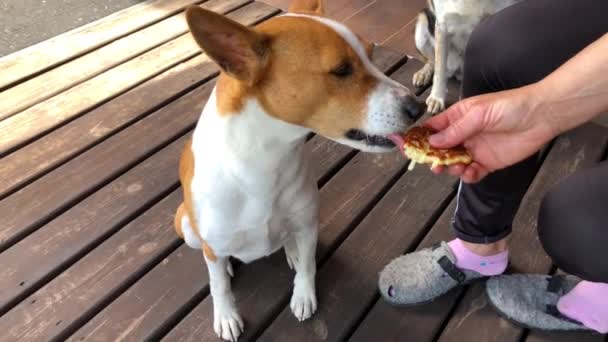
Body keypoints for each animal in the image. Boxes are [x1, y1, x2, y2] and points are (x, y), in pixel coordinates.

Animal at [175, 1, 422, 340]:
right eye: (341, 70)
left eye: (371, 54)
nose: (418, 108)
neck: (266, 162)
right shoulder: (212, 244)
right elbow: (219, 286)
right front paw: (225, 313)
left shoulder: (306, 224)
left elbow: (307, 266)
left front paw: (303, 295)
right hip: (185, 227)